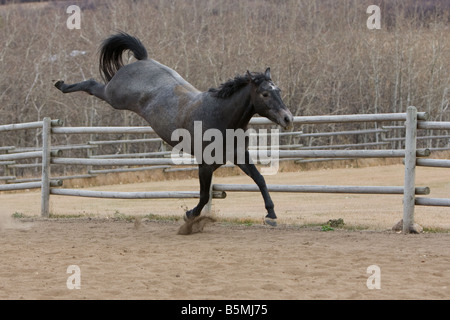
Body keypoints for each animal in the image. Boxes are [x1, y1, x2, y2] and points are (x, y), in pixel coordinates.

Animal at [54, 32, 294, 226]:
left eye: (279, 91)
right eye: (265, 93)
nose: (288, 118)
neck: (219, 116)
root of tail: (143, 60)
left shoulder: (238, 157)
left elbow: (260, 179)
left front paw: (271, 215)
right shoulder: (205, 165)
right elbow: (204, 195)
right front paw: (190, 214)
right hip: (114, 96)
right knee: (92, 85)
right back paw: (61, 85)